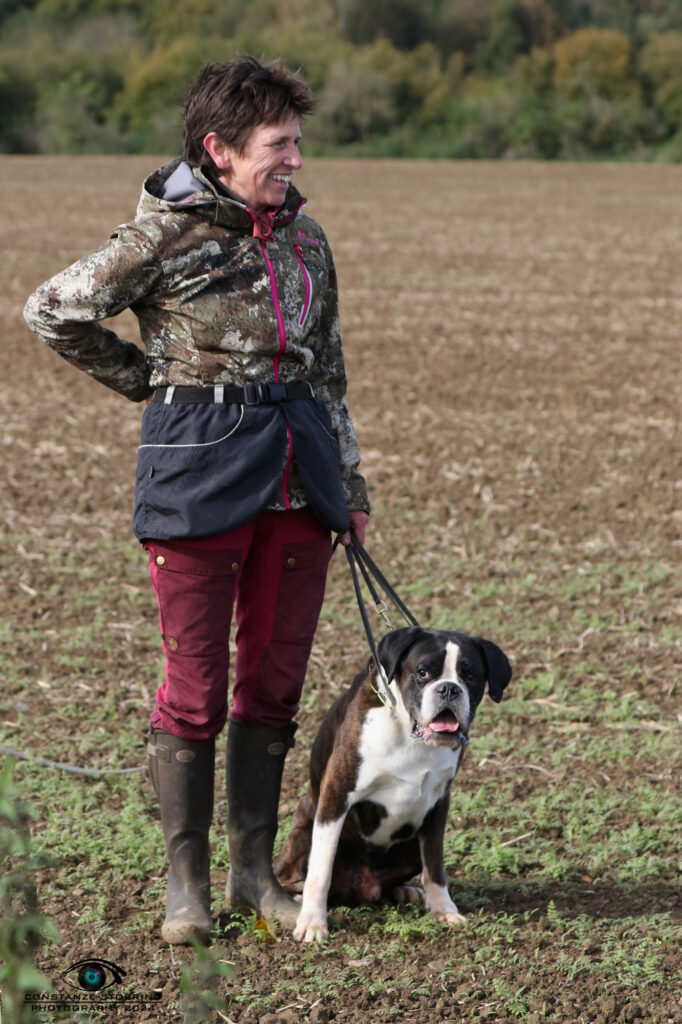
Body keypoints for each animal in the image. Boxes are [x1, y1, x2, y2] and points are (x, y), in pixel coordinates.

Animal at [274, 618, 507, 937]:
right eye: (423, 673)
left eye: (470, 677)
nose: (449, 689)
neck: (408, 730)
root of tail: (361, 888)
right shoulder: (337, 792)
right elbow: (320, 869)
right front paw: (312, 922)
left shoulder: (438, 804)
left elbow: (435, 866)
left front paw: (444, 910)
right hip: (303, 835)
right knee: (296, 876)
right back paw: (296, 900)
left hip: (409, 847)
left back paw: (406, 892)